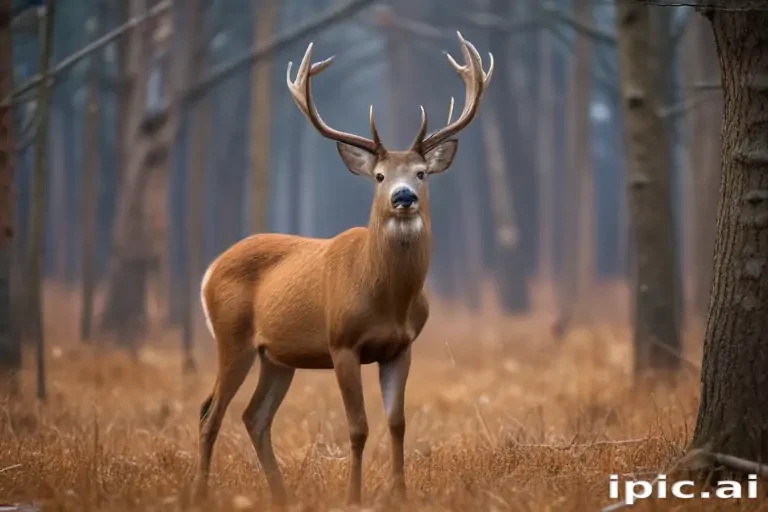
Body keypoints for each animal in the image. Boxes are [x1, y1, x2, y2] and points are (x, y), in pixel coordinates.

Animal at [192, 31, 493, 507]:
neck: (386, 296)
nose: (403, 196)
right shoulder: (342, 343)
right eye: (380, 176)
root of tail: (210, 269)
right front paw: (354, 496)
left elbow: (397, 423)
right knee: (210, 412)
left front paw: (399, 494)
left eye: (422, 173)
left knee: (254, 417)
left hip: (277, 356)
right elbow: (358, 427)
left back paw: (281, 496)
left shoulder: (401, 347)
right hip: (232, 337)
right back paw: (203, 494)